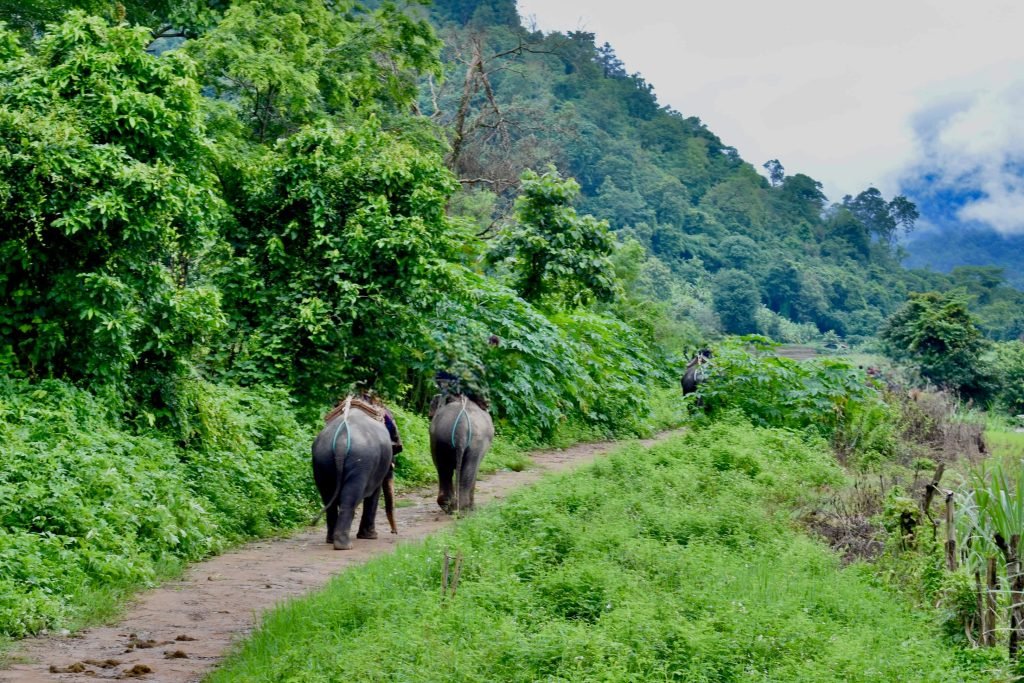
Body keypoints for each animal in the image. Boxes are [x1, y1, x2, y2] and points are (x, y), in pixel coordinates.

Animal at [311, 406, 397, 550]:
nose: (394, 532)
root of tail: (340, 442)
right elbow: (374, 493)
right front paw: (371, 536)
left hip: (321, 460)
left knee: (328, 497)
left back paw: (331, 540)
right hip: (360, 461)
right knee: (350, 498)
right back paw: (344, 545)